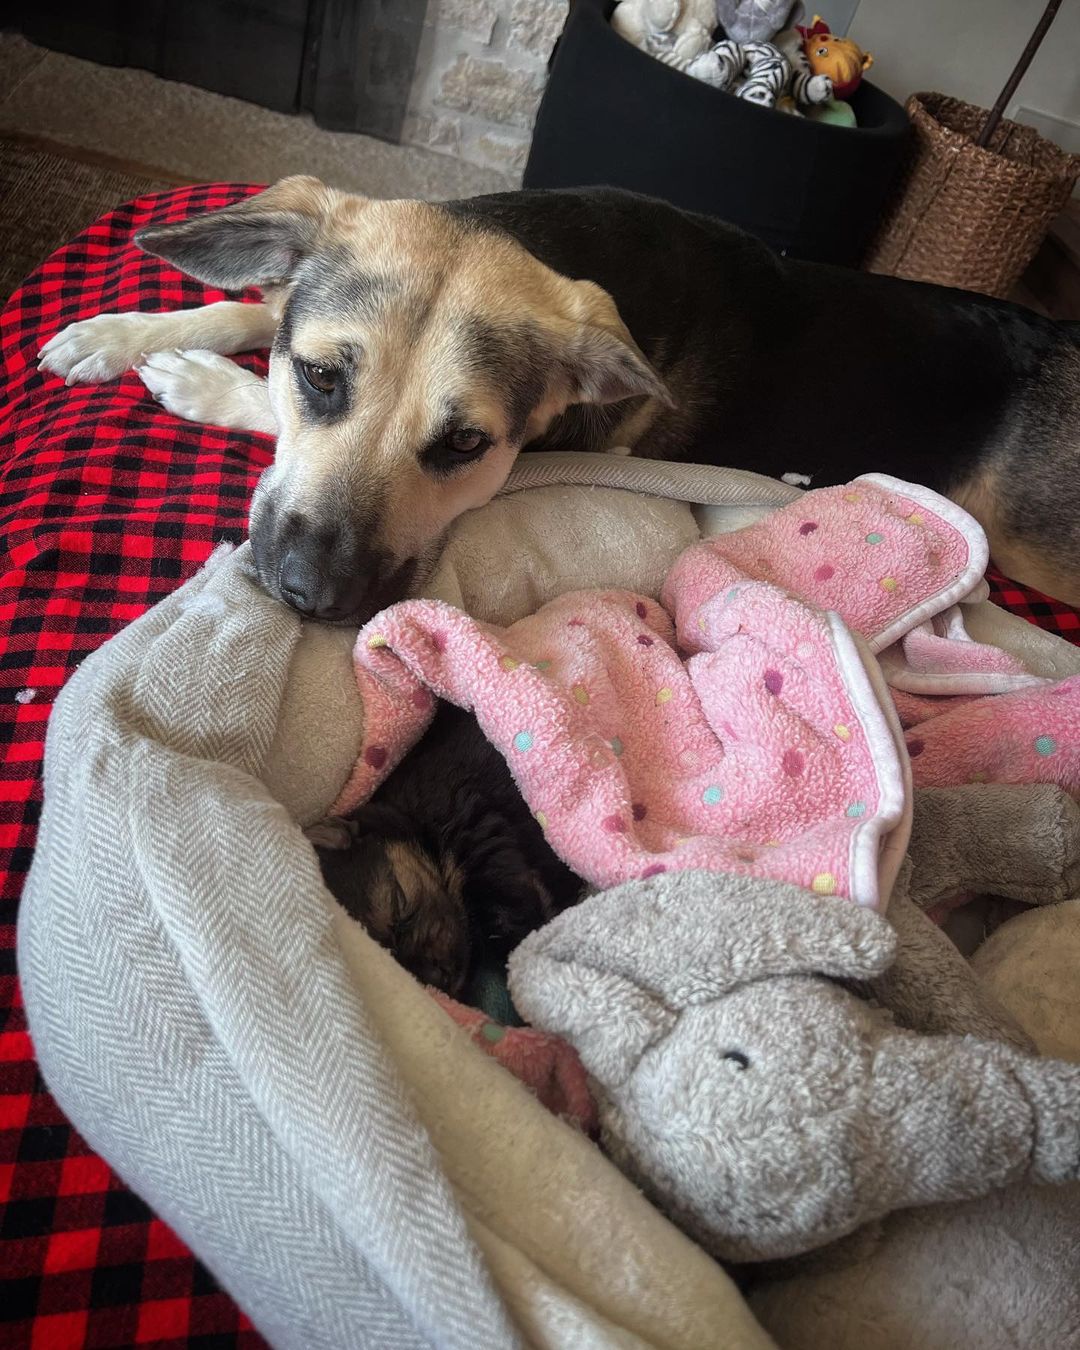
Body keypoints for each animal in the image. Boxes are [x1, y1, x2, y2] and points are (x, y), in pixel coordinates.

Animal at [35, 176, 1080, 618]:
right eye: (325, 378)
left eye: (466, 446)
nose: (311, 599)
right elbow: (253, 310)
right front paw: (118, 335)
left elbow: (253, 383)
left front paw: (197, 382)